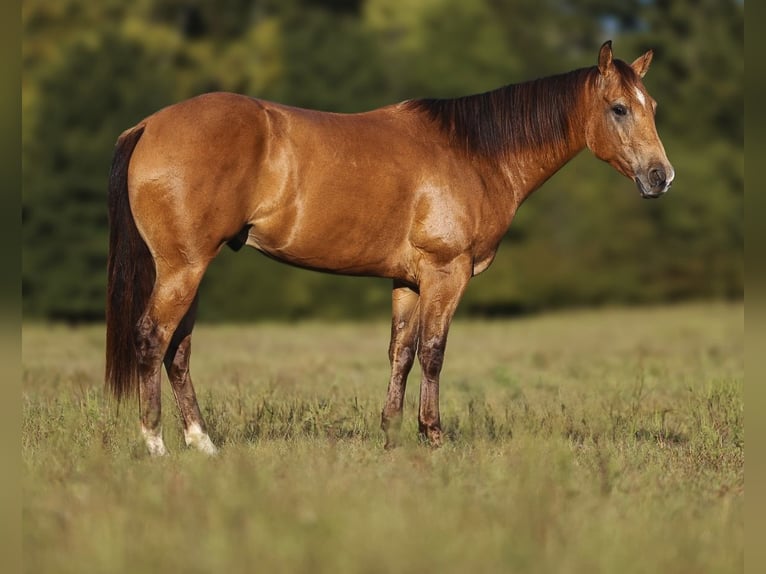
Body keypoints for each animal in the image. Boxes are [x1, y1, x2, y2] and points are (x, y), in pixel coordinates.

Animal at [105, 41, 674, 456]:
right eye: (619, 108)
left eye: (653, 106)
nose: (660, 176)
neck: (474, 153)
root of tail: (149, 125)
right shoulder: (447, 273)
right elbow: (433, 352)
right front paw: (433, 436)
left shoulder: (408, 281)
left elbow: (401, 353)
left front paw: (392, 434)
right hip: (183, 268)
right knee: (153, 337)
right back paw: (155, 444)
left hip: (190, 270)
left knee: (178, 350)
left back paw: (202, 443)